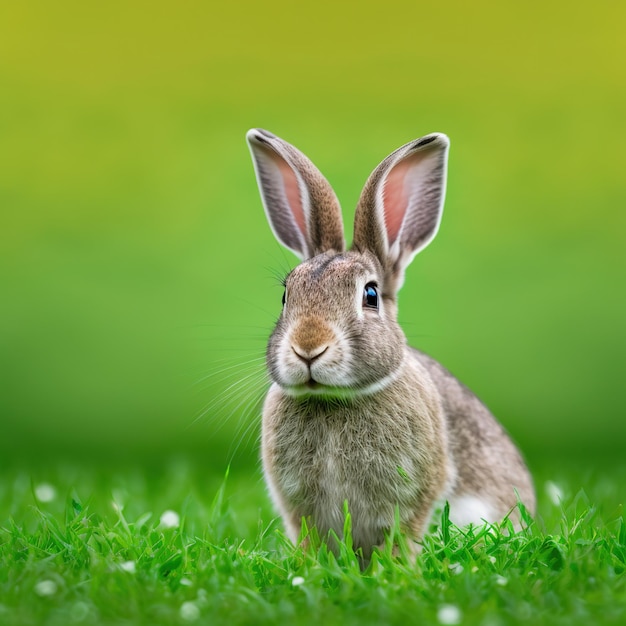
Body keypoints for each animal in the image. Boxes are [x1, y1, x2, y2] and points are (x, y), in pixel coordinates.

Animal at [246, 127, 532, 556]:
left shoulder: (414, 497)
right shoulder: (301, 510)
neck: (333, 400)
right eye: (286, 295)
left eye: (370, 295)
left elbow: (402, 535)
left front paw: (395, 565)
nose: (308, 347)